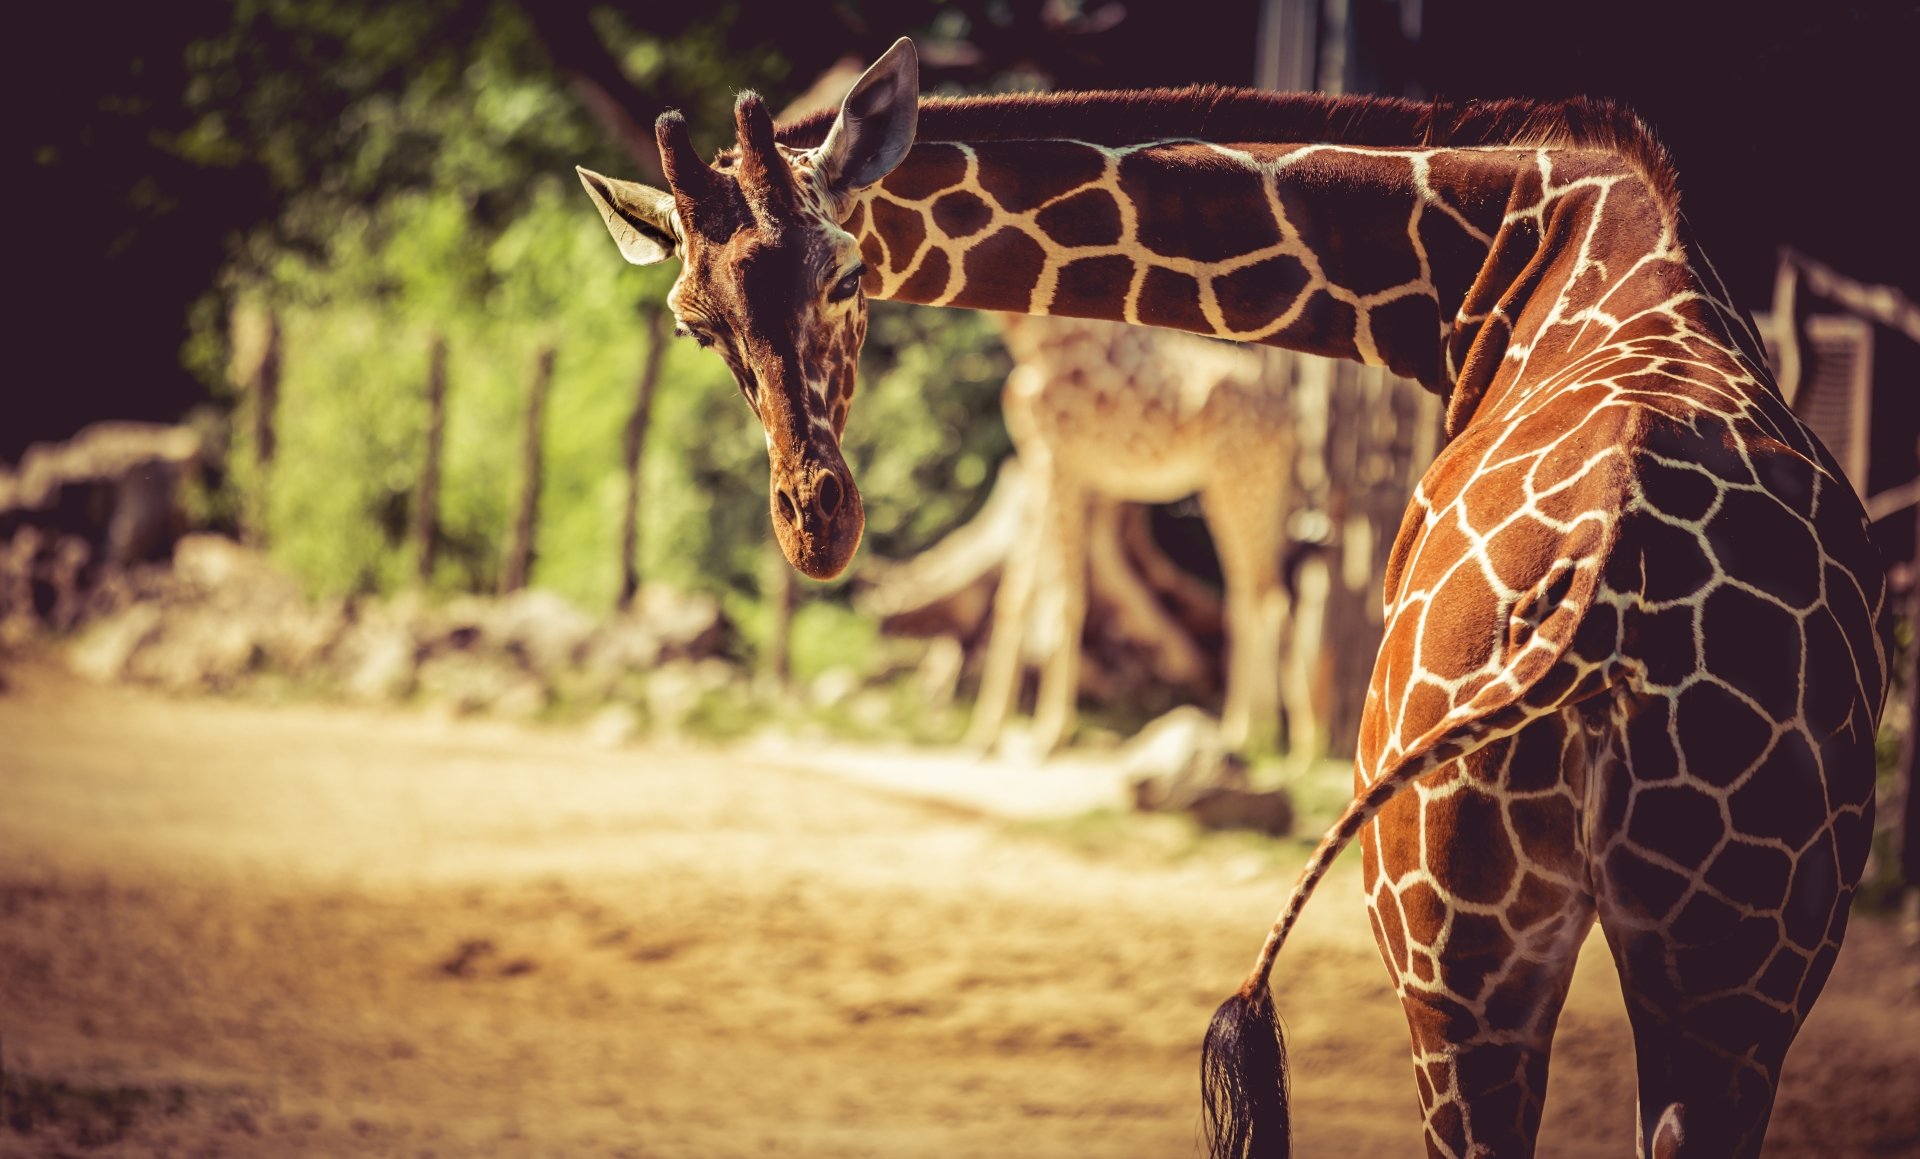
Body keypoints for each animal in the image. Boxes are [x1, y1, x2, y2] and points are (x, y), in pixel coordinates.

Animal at [970, 312, 1299, 756]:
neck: (1024, 334)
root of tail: (1292, 421)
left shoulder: (1063, 457)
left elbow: (1065, 595)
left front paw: (1050, 734)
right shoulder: (1036, 455)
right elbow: (1015, 599)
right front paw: (985, 733)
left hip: (1241, 477)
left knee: (1267, 597)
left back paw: (1259, 737)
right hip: (1245, 486)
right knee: (1250, 594)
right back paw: (1255, 734)